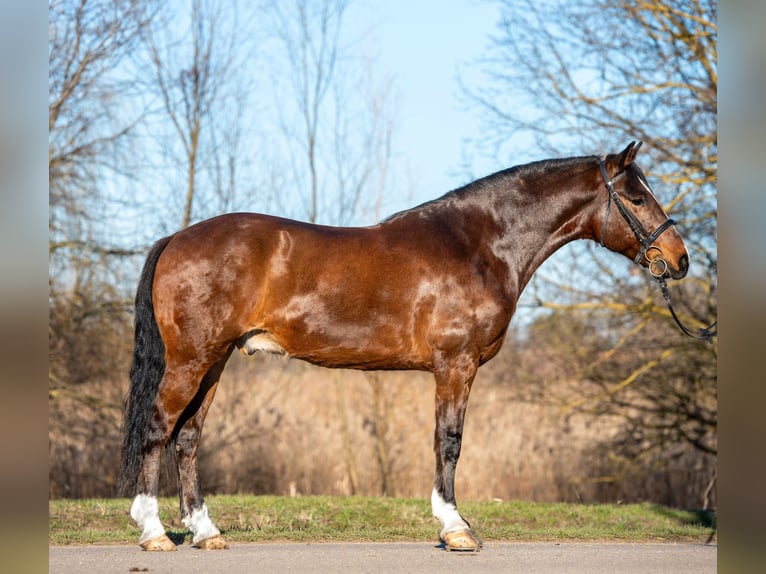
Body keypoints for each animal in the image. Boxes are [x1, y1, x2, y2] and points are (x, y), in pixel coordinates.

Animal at [120, 142, 689, 551]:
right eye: (636, 197)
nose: (679, 259)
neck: (480, 245)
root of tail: (176, 239)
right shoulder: (456, 364)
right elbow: (449, 441)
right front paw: (455, 528)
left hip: (214, 363)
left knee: (188, 438)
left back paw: (206, 533)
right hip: (191, 360)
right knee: (158, 428)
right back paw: (153, 533)